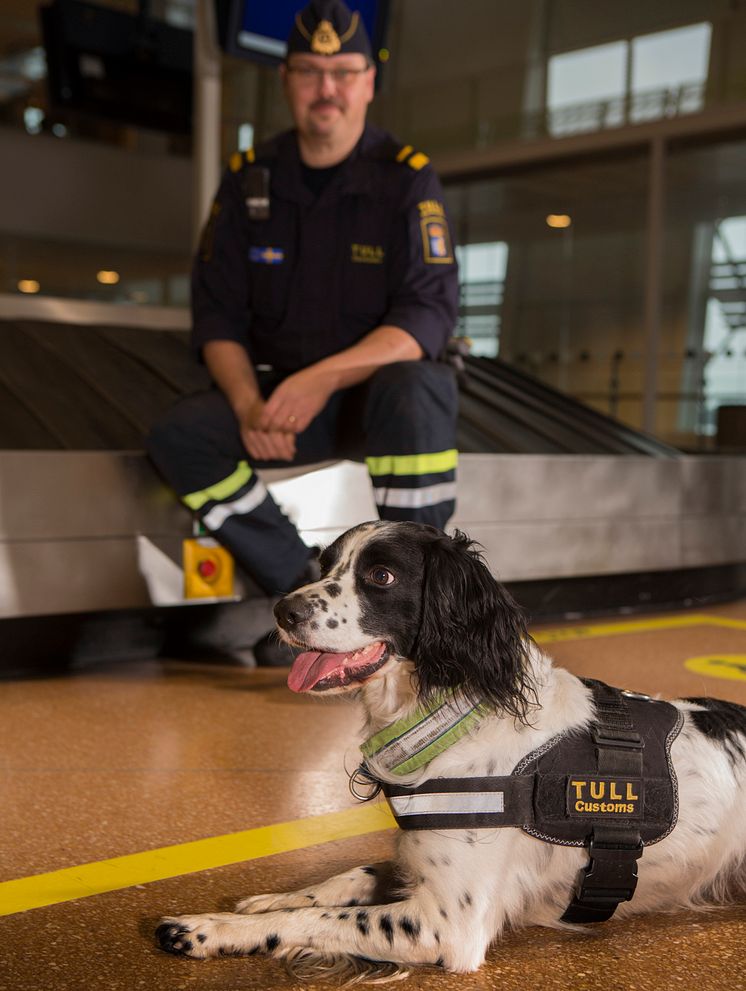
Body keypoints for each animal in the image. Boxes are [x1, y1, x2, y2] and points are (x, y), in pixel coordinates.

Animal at [157, 520, 744, 976]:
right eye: (326, 565)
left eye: (381, 576)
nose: (282, 610)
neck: (450, 715)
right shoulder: (416, 862)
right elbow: (349, 877)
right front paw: (266, 901)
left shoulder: (447, 922)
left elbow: (311, 919)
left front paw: (210, 929)